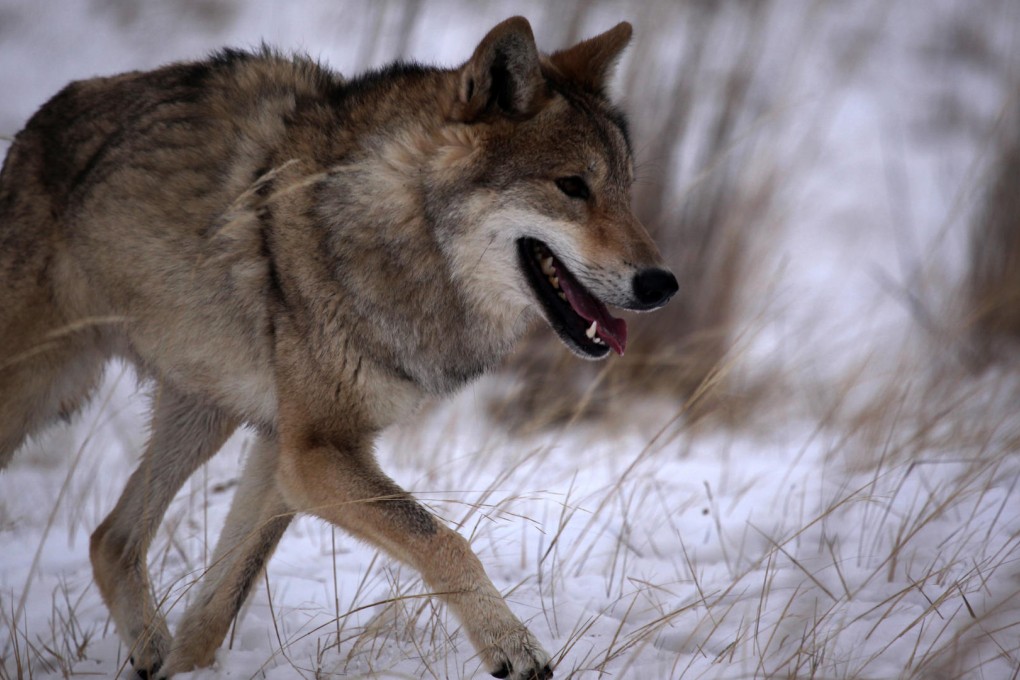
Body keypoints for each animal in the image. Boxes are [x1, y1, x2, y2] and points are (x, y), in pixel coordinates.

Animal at [1, 15, 677, 680]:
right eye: (572, 187)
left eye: (625, 191)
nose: (662, 284)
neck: (399, 231)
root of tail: (31, 128)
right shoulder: (315, 453)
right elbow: (445, 540)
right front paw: (511, 645)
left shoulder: (287, 450)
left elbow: (218, 606)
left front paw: (185, 669)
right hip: (36, 393)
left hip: (201, 413)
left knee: (110, 539)